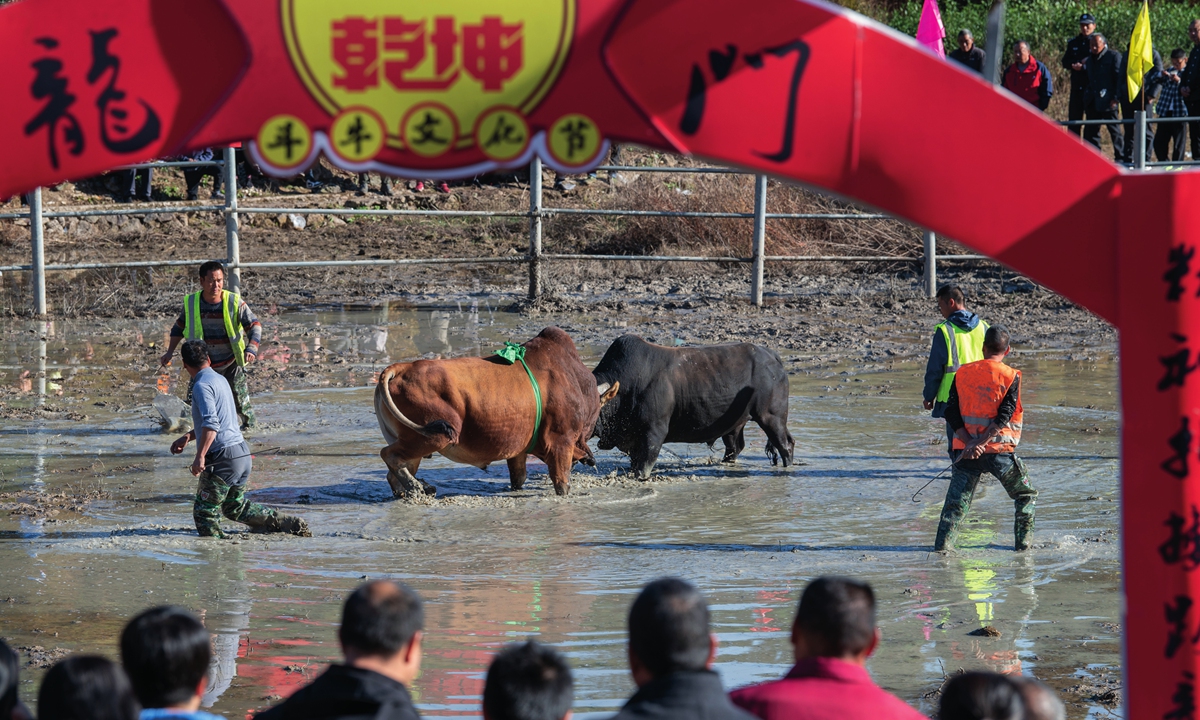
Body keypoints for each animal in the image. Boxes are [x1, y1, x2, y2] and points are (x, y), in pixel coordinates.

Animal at [374, 327, 619, 497]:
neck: (576, 381)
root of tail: (400, 369)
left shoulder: (519, 451)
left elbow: (518, 479)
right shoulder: (561, 443)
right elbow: (561, 483)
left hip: (416, 442)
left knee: (394, 472)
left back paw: (414, 489)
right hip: (437, 434)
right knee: (389, 456)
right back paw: (417, 487)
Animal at [592, 334, 794, 478]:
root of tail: (772, 356)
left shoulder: (653, 432)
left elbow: (644, 467)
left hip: (772, 417)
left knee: (786, 445)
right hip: (734, 425)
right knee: (735, 448)